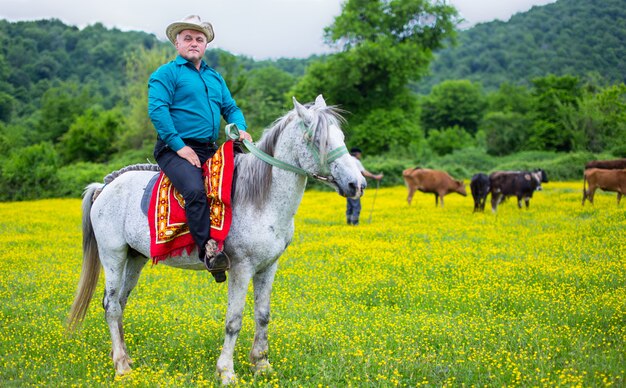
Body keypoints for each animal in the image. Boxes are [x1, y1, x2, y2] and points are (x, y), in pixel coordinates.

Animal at [66, 94, 364, 384]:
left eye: (341, 137)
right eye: (317, 140)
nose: (357, 184)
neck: (260, 197)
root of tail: (104, 187)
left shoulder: (268, 267)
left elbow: (263, 316)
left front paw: (261, 365)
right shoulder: (241, 268)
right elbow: (234, 320)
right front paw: (226, 372)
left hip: (134, 258)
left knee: (120, 303)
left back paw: (126, 359)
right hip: (113, 255)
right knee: (112, 306)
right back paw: (121, 367)